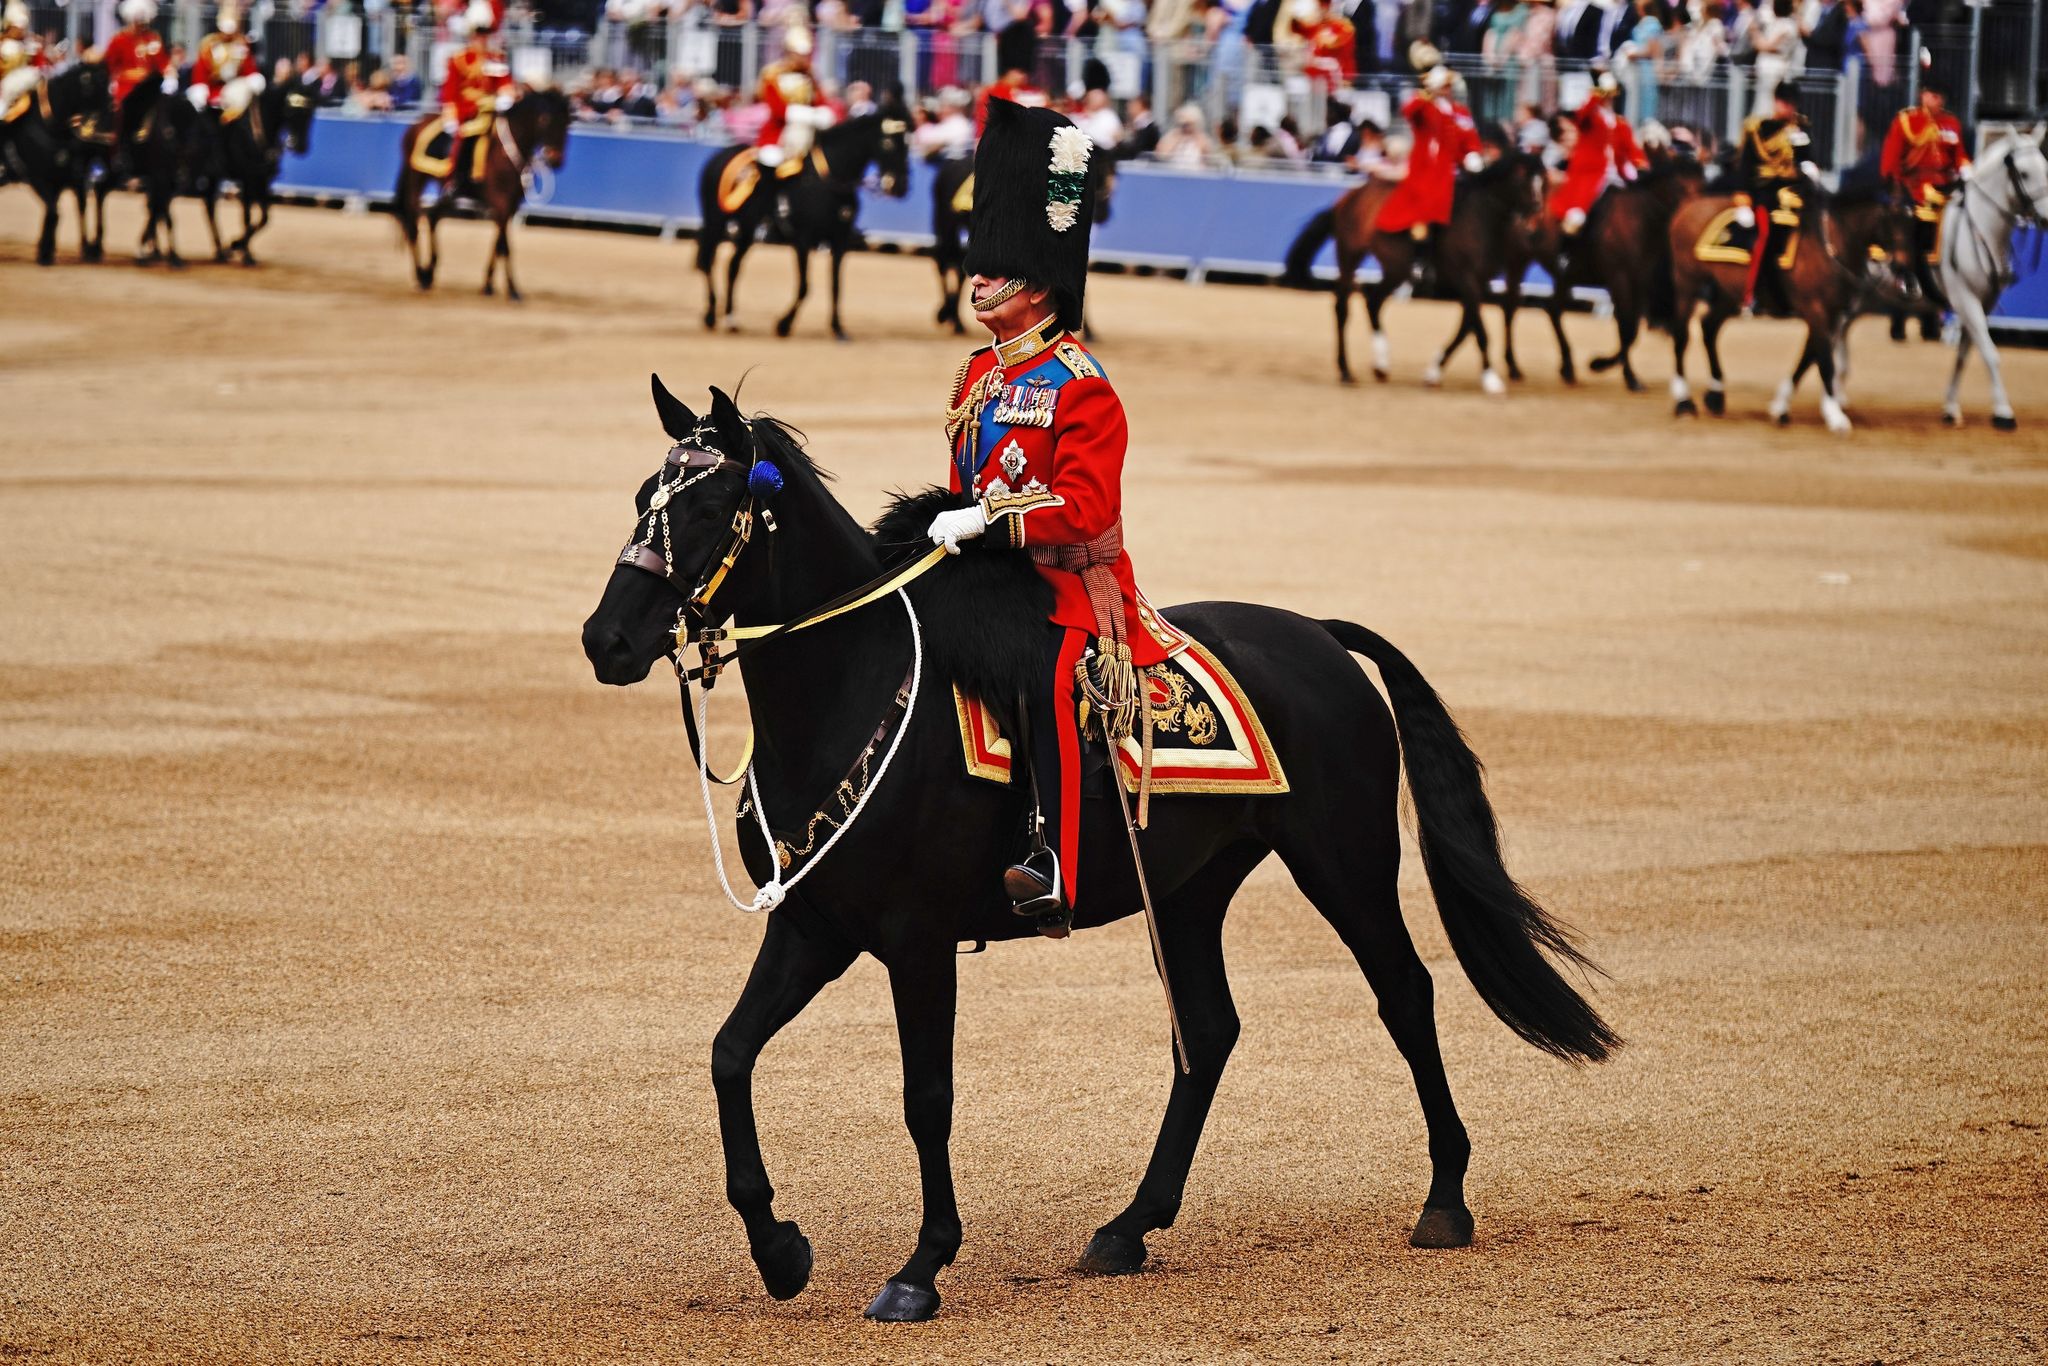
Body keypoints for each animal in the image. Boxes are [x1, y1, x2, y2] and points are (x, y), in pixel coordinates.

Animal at [0, 62, 114, 266]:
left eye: (108, 81)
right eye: (95, 85)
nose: (112, 106)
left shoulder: (59, 180)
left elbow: (53, 212)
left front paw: (46, 250)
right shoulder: (39, 179)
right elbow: (54, 212)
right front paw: (45, 252)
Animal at [577, 378, 1613, 1318]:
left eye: (708, 507)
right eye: (640, 497)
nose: (606, 639)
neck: (845, 689)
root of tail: (1317, 633)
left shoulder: (917, 939)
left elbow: (926, 1095)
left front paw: (922, 1267)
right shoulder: (814, 928)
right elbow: (729, 1055)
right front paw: (780, 1250)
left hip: (1345, 867)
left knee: (1404, 993)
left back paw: (1445, 1201)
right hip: (1191, 889)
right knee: (1210, 1028)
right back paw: (1129, 1226)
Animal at [692, 104, 909, 339]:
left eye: (908, 142)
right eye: (888, 143)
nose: (901, 187)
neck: (829, 180)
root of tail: (716, 157)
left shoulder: (839, 241)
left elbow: (836, 284)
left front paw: (837, 328)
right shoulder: (803, 240)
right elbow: (805, 285)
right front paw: (784, 324)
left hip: (747, 232)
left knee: (733, 266)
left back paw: (731, 318)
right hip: (716, 222)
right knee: (708, 262)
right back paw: (711, 315)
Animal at [1933, 129, 2048, 428]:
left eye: (2045, 167)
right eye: (2024, 173)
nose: (2046, 218)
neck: (1979, 230)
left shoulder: (1983, 302)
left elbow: (1965, 355)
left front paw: (1951, 407)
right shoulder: (1964, 299)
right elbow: (1990, 353)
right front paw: (2004, 412)